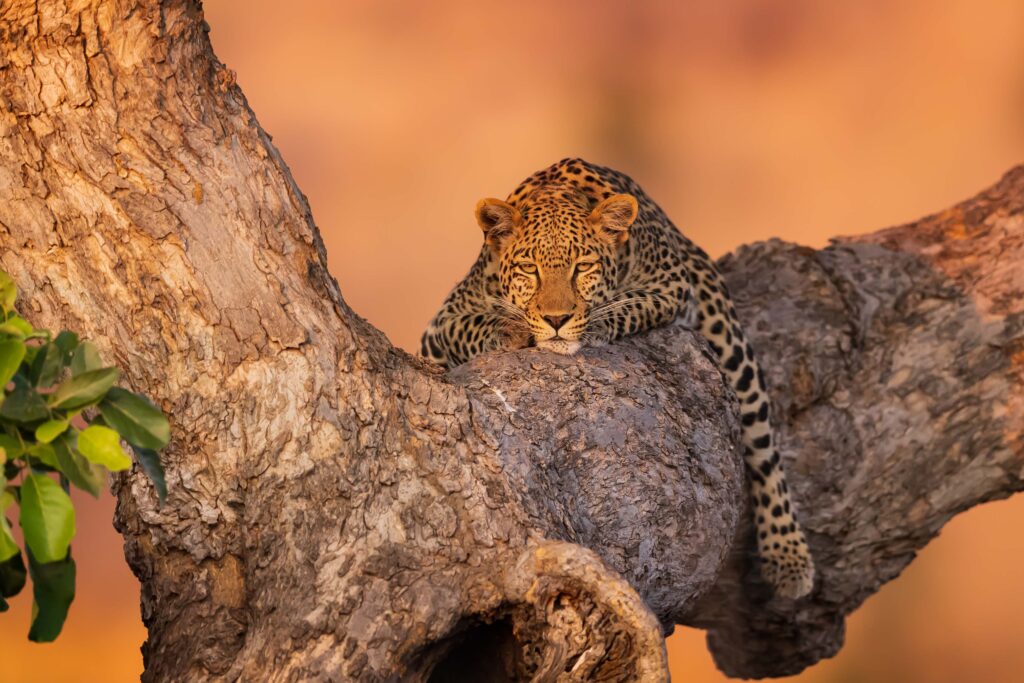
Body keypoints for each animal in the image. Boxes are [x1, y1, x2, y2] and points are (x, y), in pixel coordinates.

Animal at [420, 157, 815, 599]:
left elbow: (629, 305)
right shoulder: (439, 326)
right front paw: (512, 328)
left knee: (764, 446)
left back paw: (789, 558)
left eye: (582, 268)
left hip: (724, 328)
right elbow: (472, 325)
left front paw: (589, 325)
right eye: (529, 269)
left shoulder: (671, 286)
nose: (556, 320)